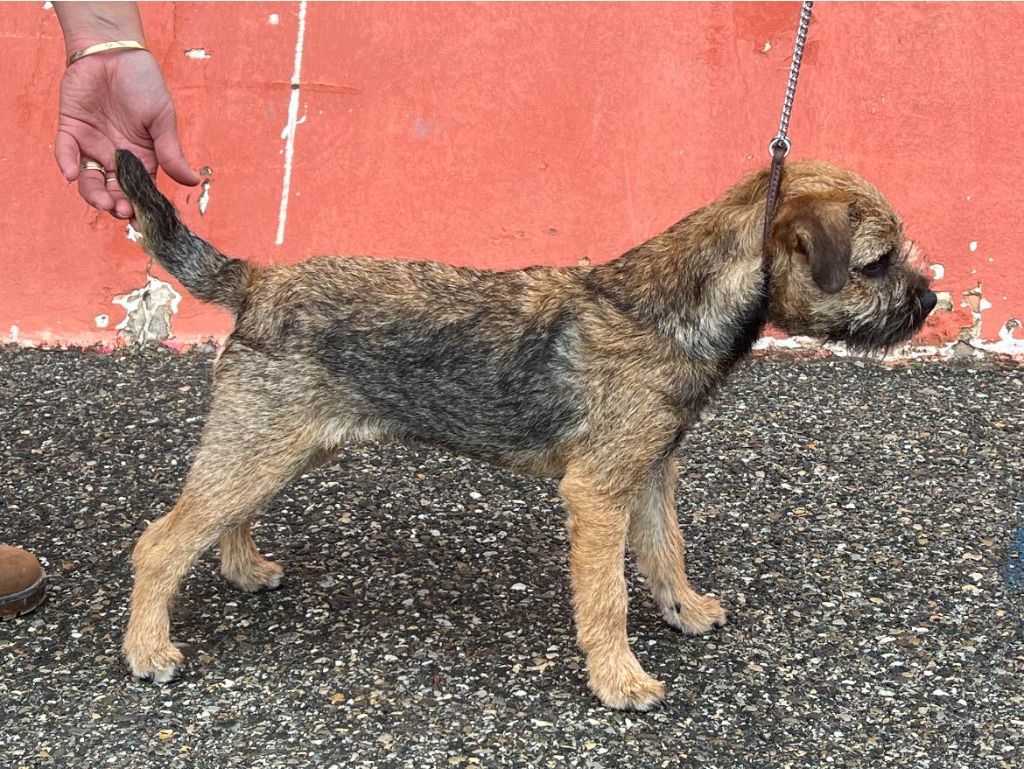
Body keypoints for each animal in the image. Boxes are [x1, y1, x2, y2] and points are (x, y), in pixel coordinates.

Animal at [113, 149, 935, 710]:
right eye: (877, 262)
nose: (928, 301)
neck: (670, 310)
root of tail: (258, 281)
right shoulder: (598, 493)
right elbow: (606, 596)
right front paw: (620, 678)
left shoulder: (651, 473)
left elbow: (665, 551)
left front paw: (684, 610)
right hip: (260, 445)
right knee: (160, 542)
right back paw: (148, 647)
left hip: (274, 449)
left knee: (221, 519)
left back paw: (243, 568)